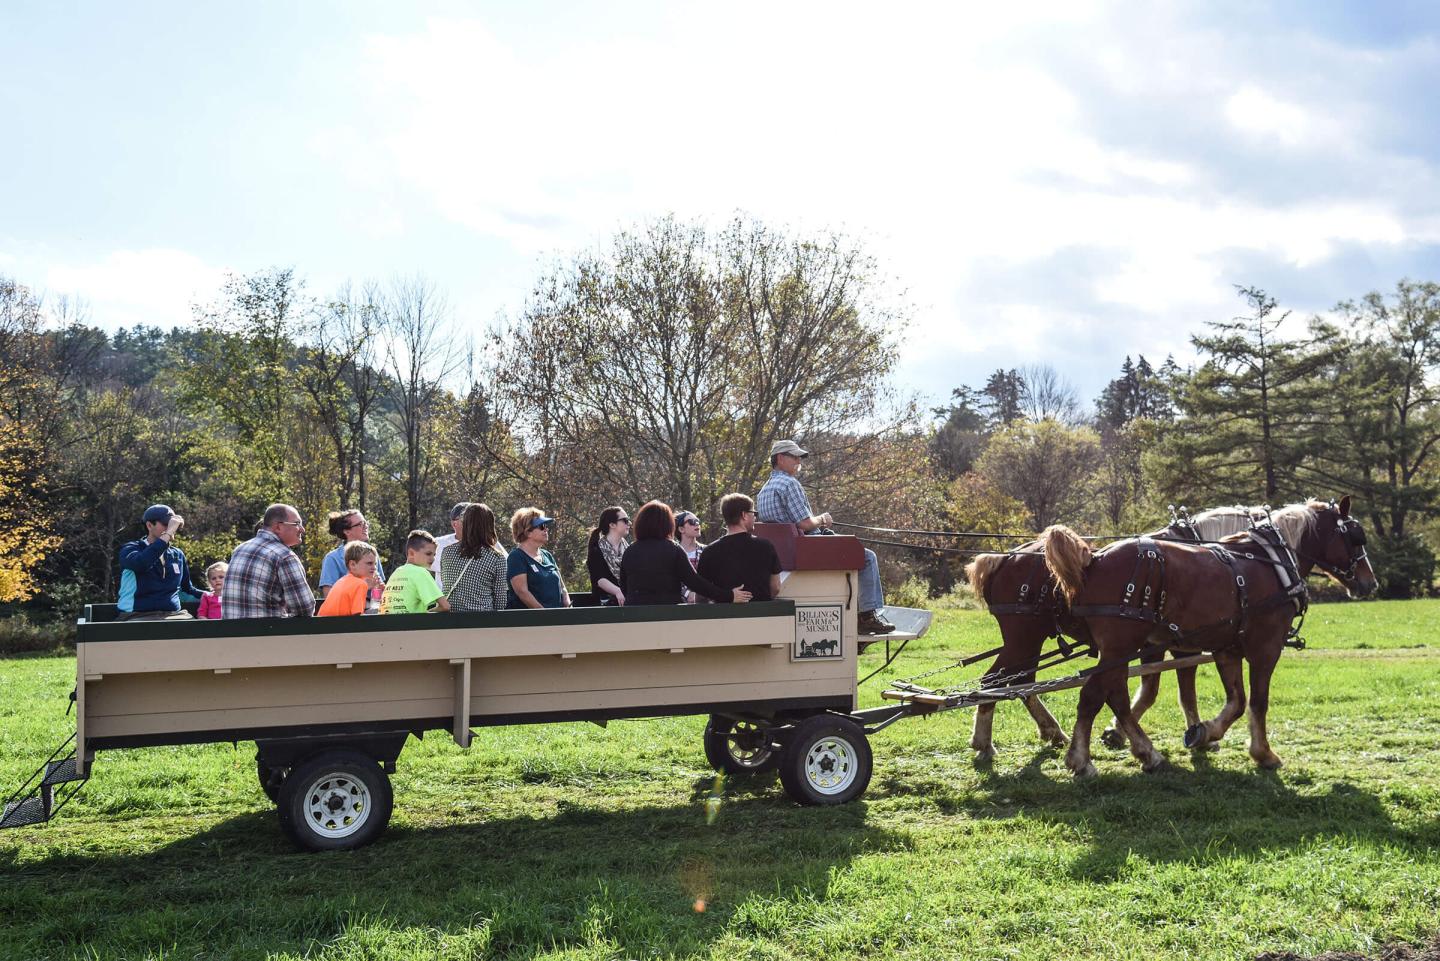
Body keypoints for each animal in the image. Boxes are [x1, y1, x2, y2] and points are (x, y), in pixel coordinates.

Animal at [967, 504, 1261, 760]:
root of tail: (1003, 559)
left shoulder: (1162, 644)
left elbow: (1164, 689)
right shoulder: (1174, 644)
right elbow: (1169, 690)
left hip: (1028, 642)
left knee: (1020, 680)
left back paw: (1050, 731)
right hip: (1023, 639)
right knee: (994, 680)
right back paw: (986, 742)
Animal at [1048, 501, 1370, 778]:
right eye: (1356, 537)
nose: (1371, 582)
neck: (1272, 562)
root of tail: (1094, 558)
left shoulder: (1226, 649)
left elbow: (1235, 701)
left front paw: (1203, 732)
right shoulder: (1265, 648)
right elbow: (1257, 702)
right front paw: (1263, 753)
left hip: (1119, 649)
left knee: (1113, 696)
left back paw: (1143, 752)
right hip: (1119, 647)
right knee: (1093, 695)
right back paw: (1082, 759)